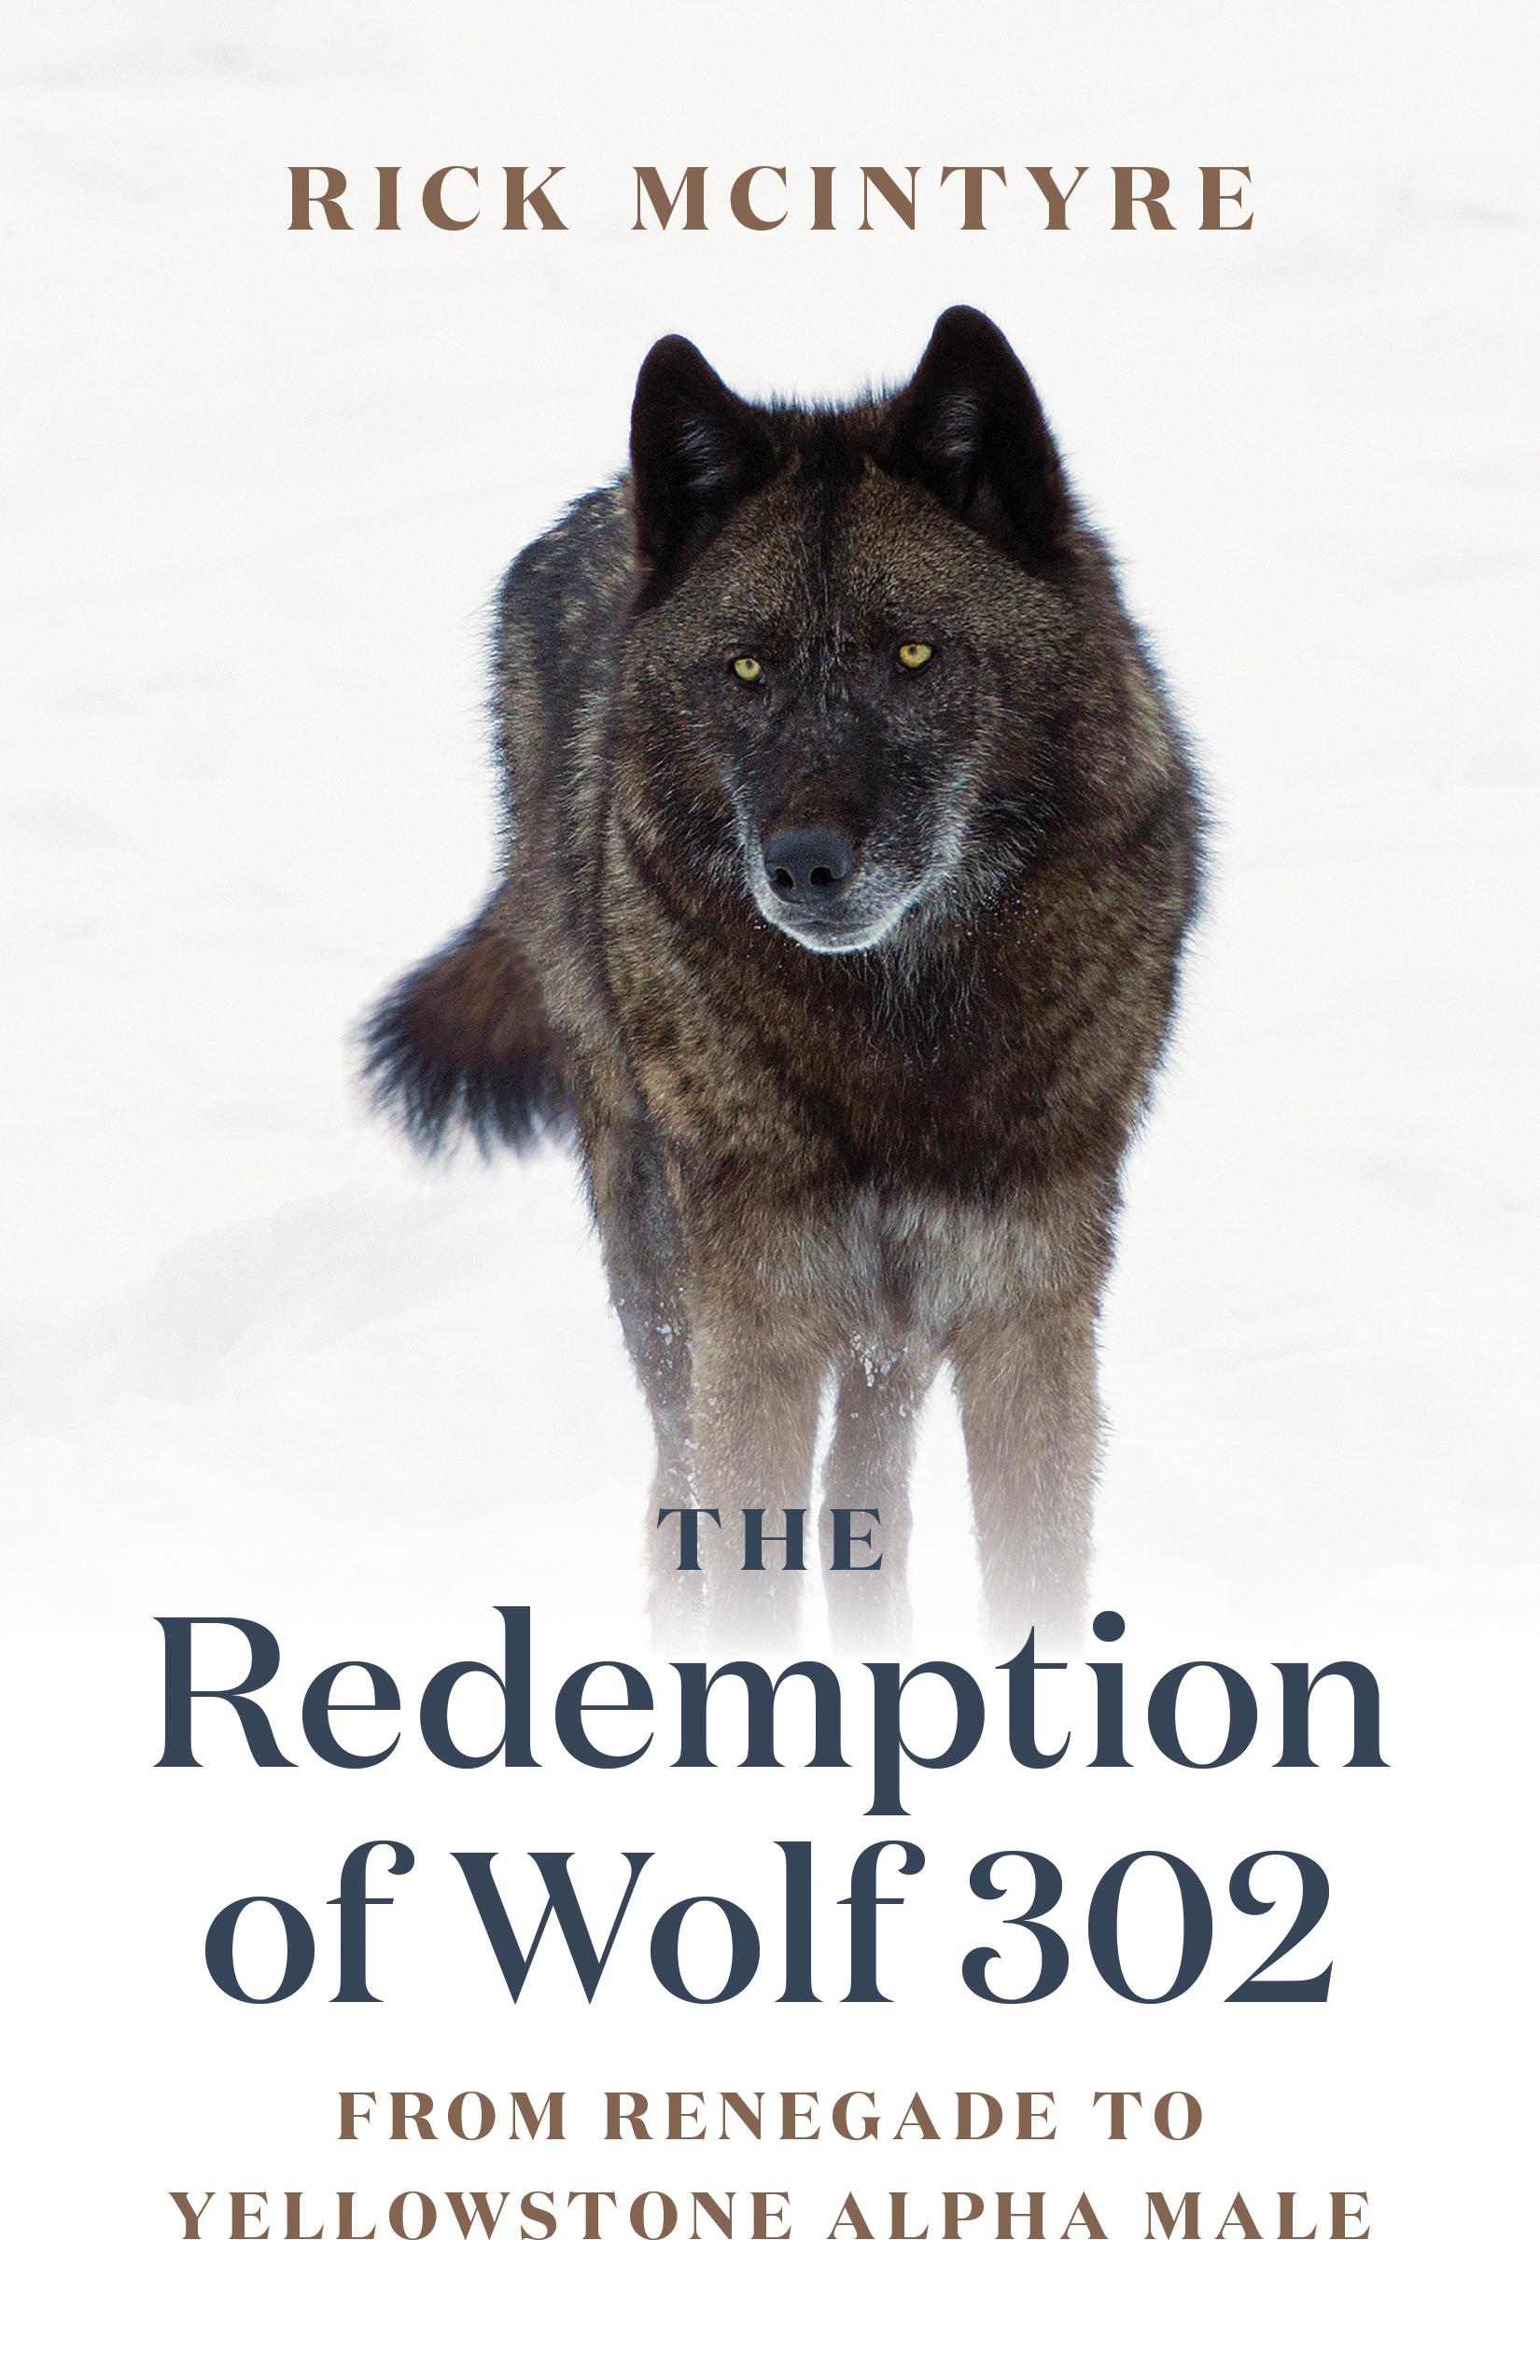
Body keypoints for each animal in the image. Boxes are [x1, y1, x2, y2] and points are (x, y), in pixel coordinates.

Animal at [364, 306, 1203, 1646]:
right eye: (746, 671)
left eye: (912, 653)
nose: (802, 865)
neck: (898, 1040)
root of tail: (602, 504)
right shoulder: (753, 1323)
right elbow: (742, 1564)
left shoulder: (1025, 1313)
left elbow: (1031, 1579)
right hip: (661, 1262)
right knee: (679, 1490)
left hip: (887, 1335)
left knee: (869, 1497)